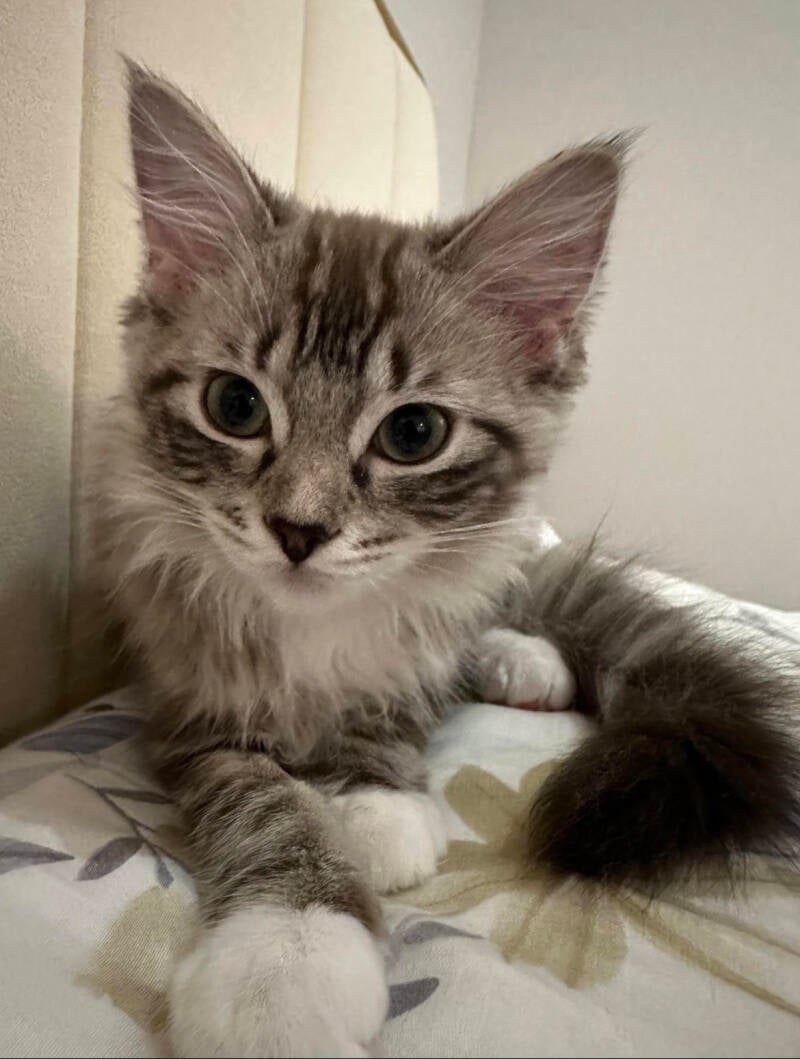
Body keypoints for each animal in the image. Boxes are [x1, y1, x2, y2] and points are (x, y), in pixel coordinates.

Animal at [90, 62, 800, 1057]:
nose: (298, 530)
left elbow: (394, 709)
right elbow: (265, 801)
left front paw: (371, 805)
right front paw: (287, 957)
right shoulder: (188, 700)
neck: (318, 633)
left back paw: (521, 656)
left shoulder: (409, 641)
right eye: (235, 406)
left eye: (414, 434)